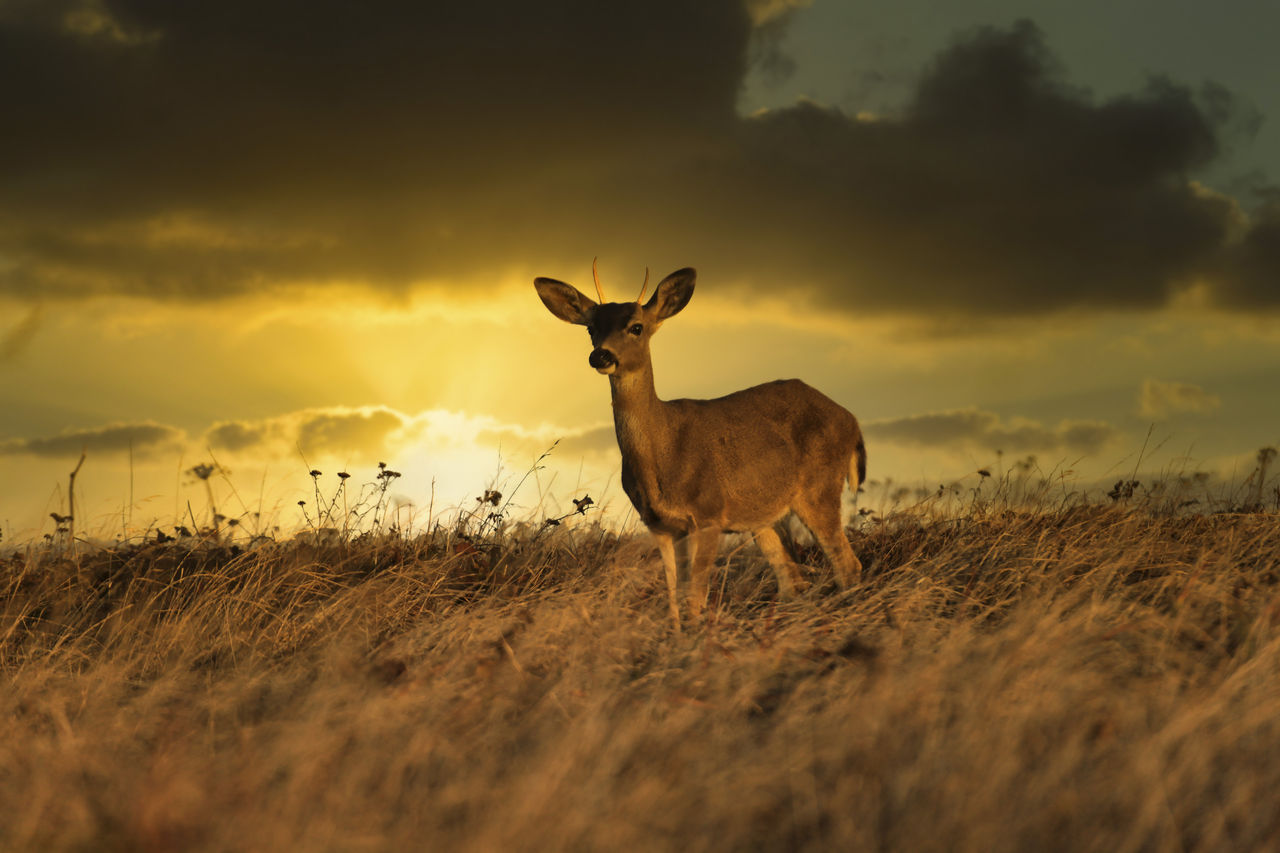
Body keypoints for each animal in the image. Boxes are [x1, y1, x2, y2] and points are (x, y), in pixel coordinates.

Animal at [535, 258, 865, 625]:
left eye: (636, 327)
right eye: (591, 328)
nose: (602, 356)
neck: (663, 451)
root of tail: (851, 420)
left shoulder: (709, 513)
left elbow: (695, 597)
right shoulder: (661, 524)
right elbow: (674, 597)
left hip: (818, 488)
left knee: (848, 565)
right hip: (763, 517)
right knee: (793, 579)